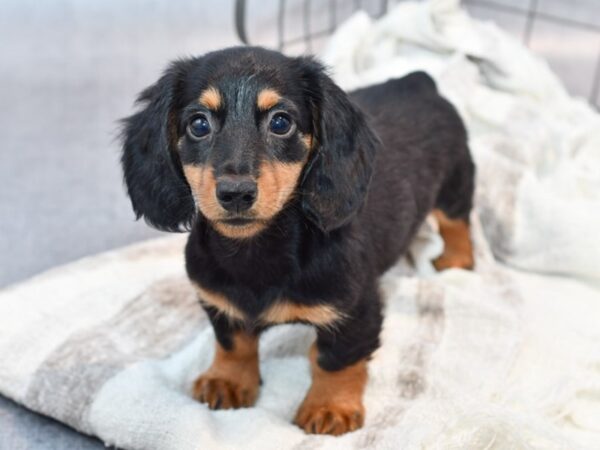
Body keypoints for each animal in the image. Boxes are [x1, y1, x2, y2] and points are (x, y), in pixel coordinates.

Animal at [120, 46, 474, 436]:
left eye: (280, 122)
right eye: (198, 124)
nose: (236, 193)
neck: (258, 251)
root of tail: (416, 81)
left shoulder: (355, 310)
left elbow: (336, 361)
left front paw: (330, 407)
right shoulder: (219, 302)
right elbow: (233, 344)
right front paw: (228, 381)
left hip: (456, 184)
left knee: (458, 223)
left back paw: (458, 260)